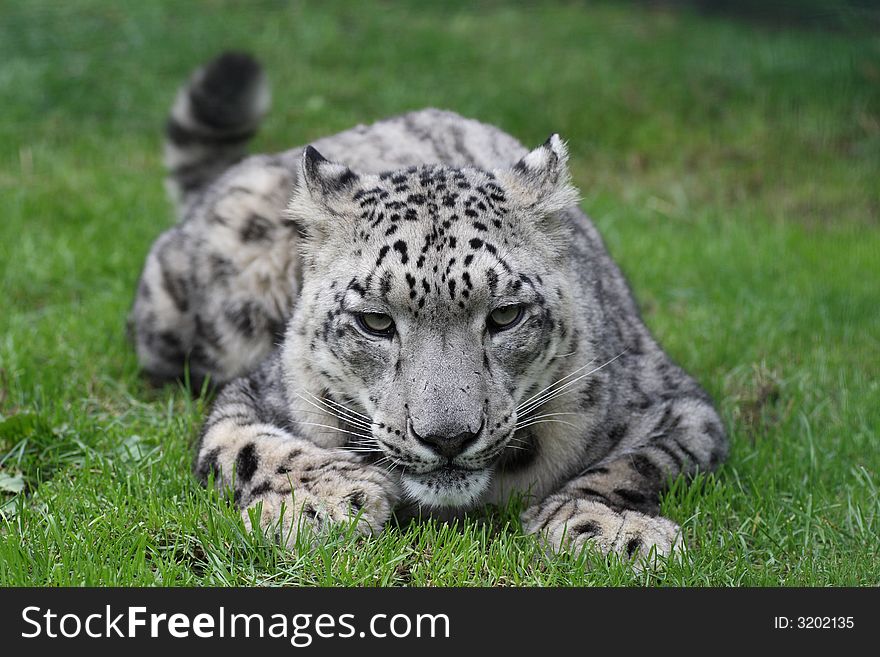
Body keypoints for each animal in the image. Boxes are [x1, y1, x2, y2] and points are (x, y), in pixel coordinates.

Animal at [127, 52, 724, 564]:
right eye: (375, 321)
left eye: (505, 315)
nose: (447, 439)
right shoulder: (259, 394)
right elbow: (245, 445)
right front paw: (327, 499)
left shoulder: (678, 405)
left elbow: (635, 463)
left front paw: (610, 527)